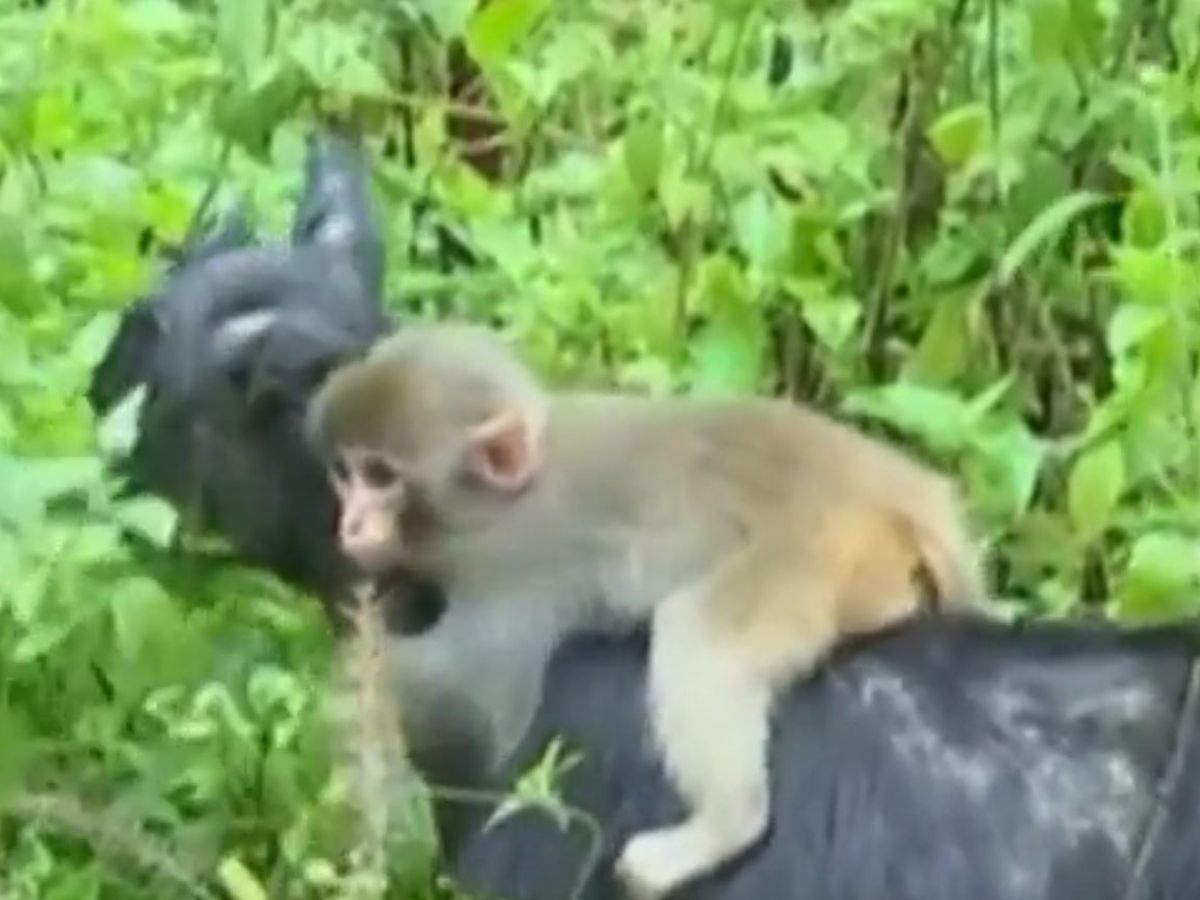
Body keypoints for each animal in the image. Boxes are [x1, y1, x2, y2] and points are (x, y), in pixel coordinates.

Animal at [307, 324, 984, 900]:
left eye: (382, 477)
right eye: (347, 473)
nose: (351, 523)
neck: (503, 498)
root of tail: (892, 489)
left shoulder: (516, 568)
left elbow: (467, 703)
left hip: (810, 557)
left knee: (700, 638)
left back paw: (721, 828)